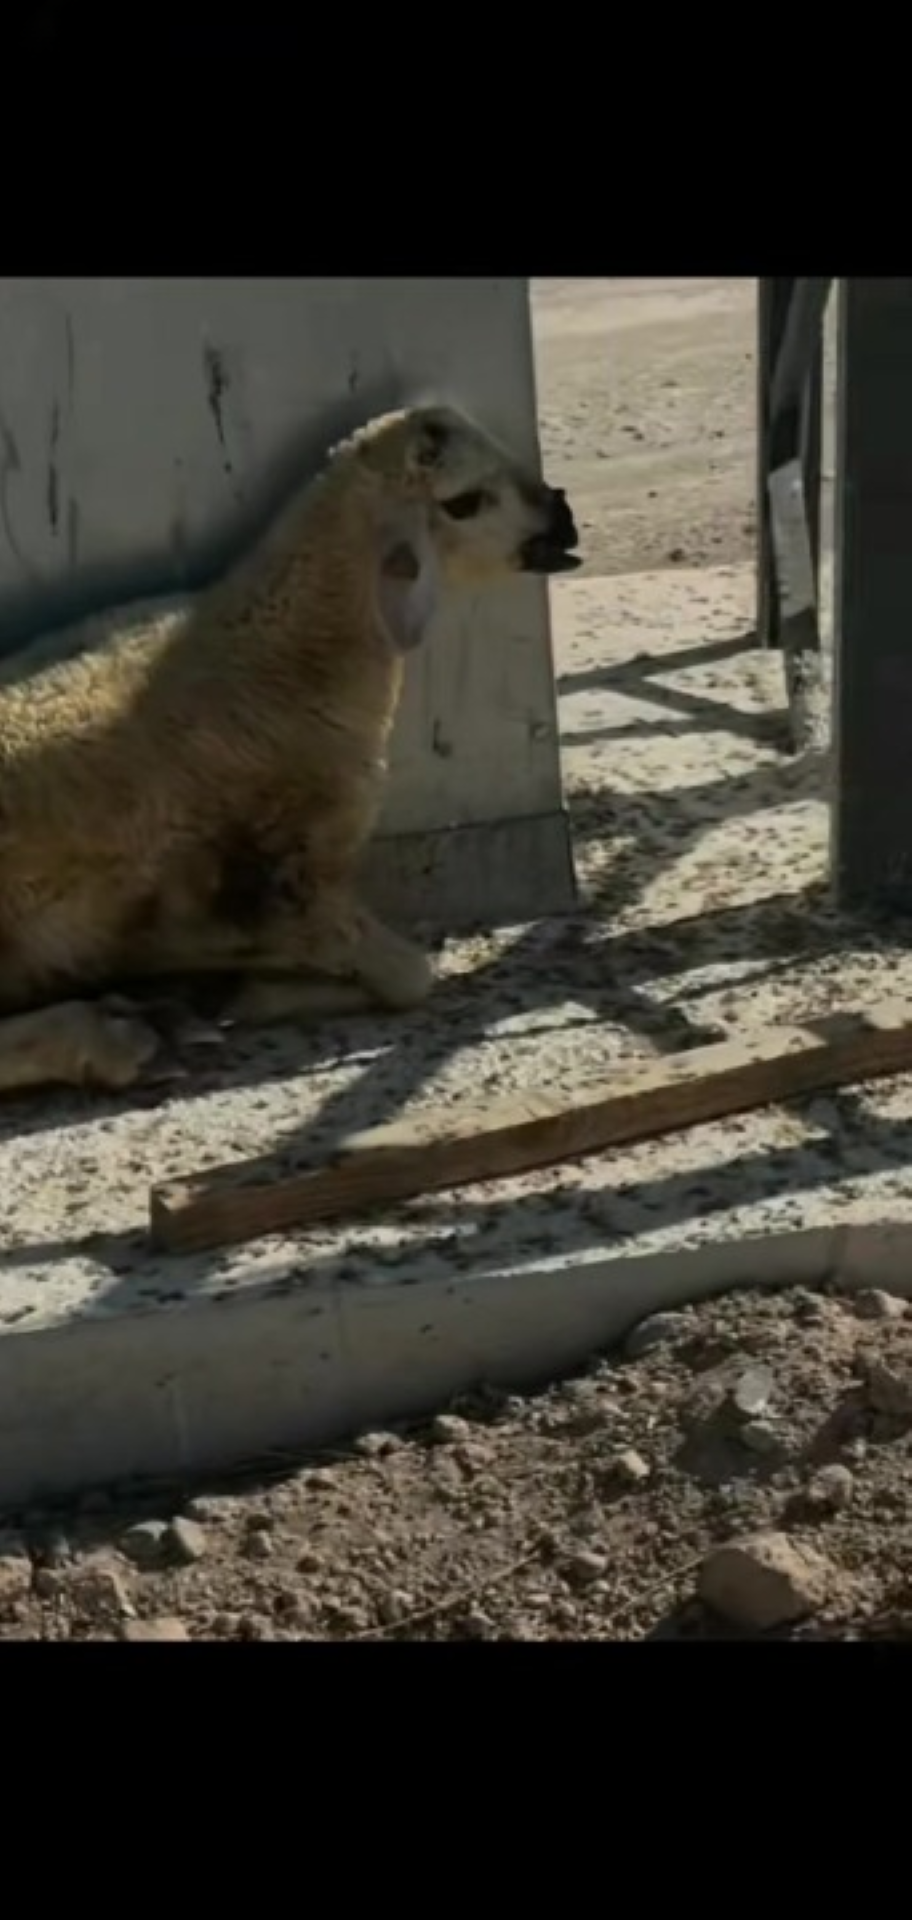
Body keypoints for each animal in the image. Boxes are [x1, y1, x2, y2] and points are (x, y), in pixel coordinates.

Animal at [0, 402, 581, 1097]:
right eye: (463, 502)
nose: (565, 519)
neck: (288, 654)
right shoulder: (292, 878)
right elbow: (410, 977)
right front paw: (244, 993)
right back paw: (120, 1040)